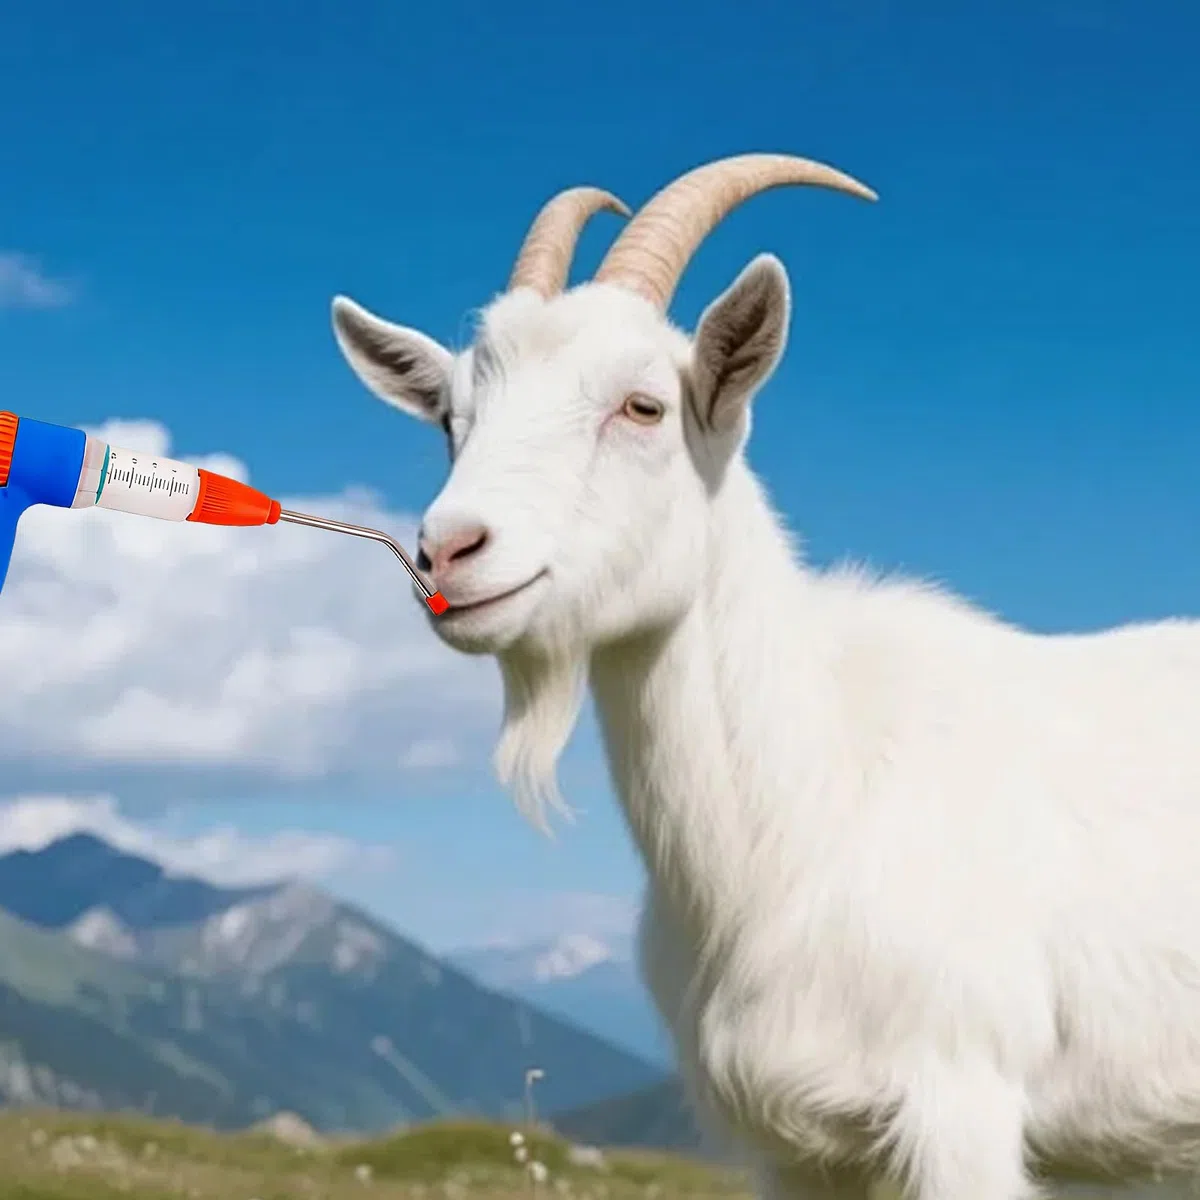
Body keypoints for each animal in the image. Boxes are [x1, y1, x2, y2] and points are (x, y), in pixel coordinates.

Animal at [330, 153, 1200, 1200]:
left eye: (644, 406)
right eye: (452, 422)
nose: (449, 551)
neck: (809, 797)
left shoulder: (964, 1100)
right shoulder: (798, 1145)